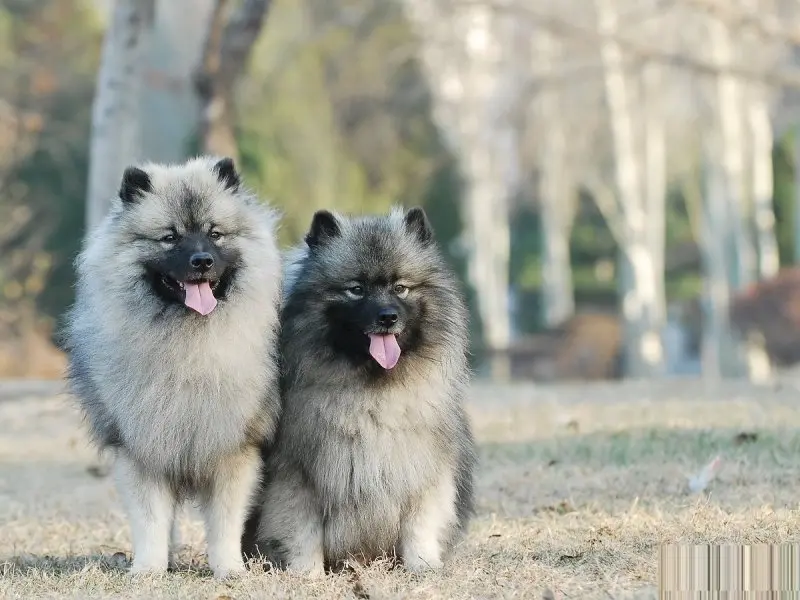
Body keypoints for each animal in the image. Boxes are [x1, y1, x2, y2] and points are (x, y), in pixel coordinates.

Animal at [66, 157, 284, 580]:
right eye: (170, 237)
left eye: (215, 234)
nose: (202, 261)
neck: (188, 344)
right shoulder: (143, 448)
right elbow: (150, 520)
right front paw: (148, 569)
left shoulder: (233, 450)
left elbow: (225, 522)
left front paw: (229, 569)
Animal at [242, 209, 476, 576]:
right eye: (356, 289)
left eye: (400, 288)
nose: (387, 317)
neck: (372, 394)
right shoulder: (297, 478)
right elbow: (302, 531)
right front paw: (307, 574)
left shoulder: (424, 473)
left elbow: (419, 526)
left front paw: (422, 566)